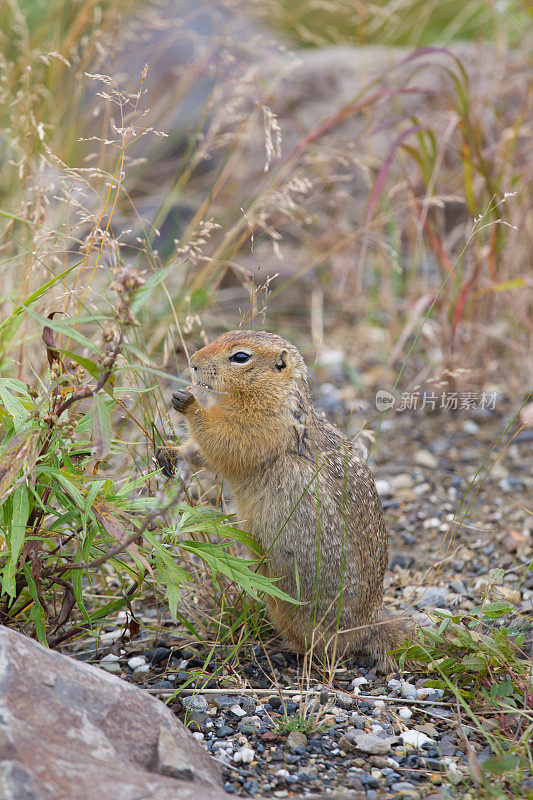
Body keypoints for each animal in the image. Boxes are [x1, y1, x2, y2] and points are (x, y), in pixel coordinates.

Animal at [156, 328, 410, 664]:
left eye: (240, 357)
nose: (193, 362)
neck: (272, 393)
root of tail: (369, 625)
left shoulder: (262, 424)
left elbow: (226, 440)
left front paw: (188, 402)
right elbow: (206, 453)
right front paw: (169, 452)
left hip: (296, 609)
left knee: (324, 647)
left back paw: (281, 649)